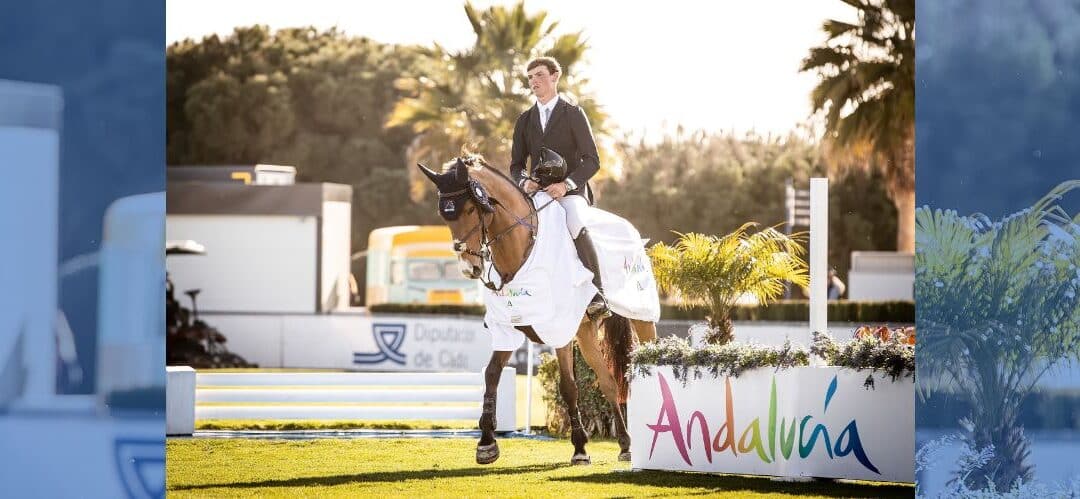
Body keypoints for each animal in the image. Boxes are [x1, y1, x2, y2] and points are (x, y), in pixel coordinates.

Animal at [416, 154, 656, 464]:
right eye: (445, 216)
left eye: (470, 208)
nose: (470, 268)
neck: (521, 249)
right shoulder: (507, 328)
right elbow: (491, 375)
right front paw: (486, 443)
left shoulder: (560, 330)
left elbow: (568, 387)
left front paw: (580, 448)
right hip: (586, 332)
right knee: (608, 382)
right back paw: (626, 445)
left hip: (642, 317)